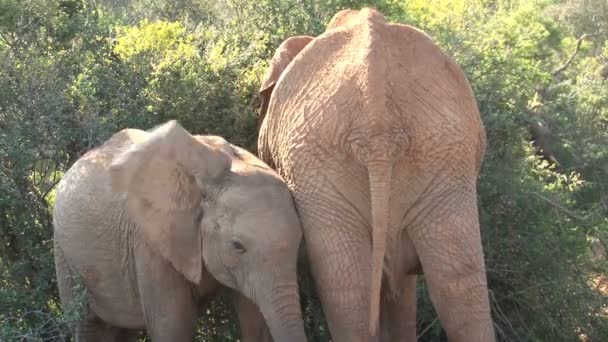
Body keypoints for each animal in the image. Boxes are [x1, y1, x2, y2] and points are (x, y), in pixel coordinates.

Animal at [52, 121, 306, 340]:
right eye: (237, 246)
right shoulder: (149, 245)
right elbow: (172, 328)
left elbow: (255, 322)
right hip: (64, 256)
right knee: (88, 327)